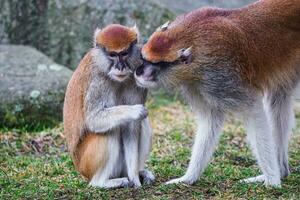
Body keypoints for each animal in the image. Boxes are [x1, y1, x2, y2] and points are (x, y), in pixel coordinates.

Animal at [64, 24, 156, 188]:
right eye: (112, 55)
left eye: (124, 53)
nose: (120, 67)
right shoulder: (97, 82)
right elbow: (94, 119)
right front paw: (135, 111)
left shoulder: (135, 78)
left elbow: (131, 127)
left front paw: (135, 178)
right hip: (86, 163)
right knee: (110, 130)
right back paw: (101, 182)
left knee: (142, 123)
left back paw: (140, 173)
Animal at [135, 0, 300, 188]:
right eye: (144, 59)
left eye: (155, 64)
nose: (139, 72)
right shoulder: (197, 84)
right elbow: (211, 118)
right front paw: (188, 178)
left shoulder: (221, 76)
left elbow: (253, 110)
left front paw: (272, 182)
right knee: (278, 98)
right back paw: (282, 171)